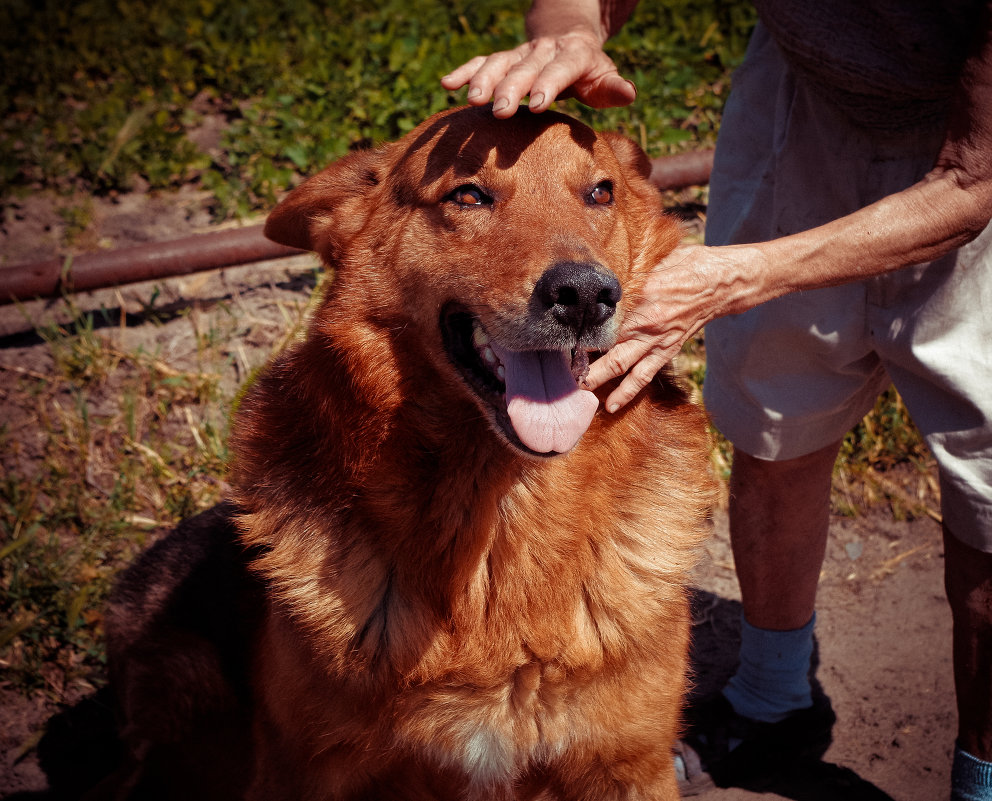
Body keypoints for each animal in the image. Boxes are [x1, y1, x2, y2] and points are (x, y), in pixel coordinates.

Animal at [104, 106, 712, 800]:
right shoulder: (302, 769)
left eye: (601, 193)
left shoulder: (630, 766)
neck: (496, 543)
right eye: (468, 195)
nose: (586, 295)